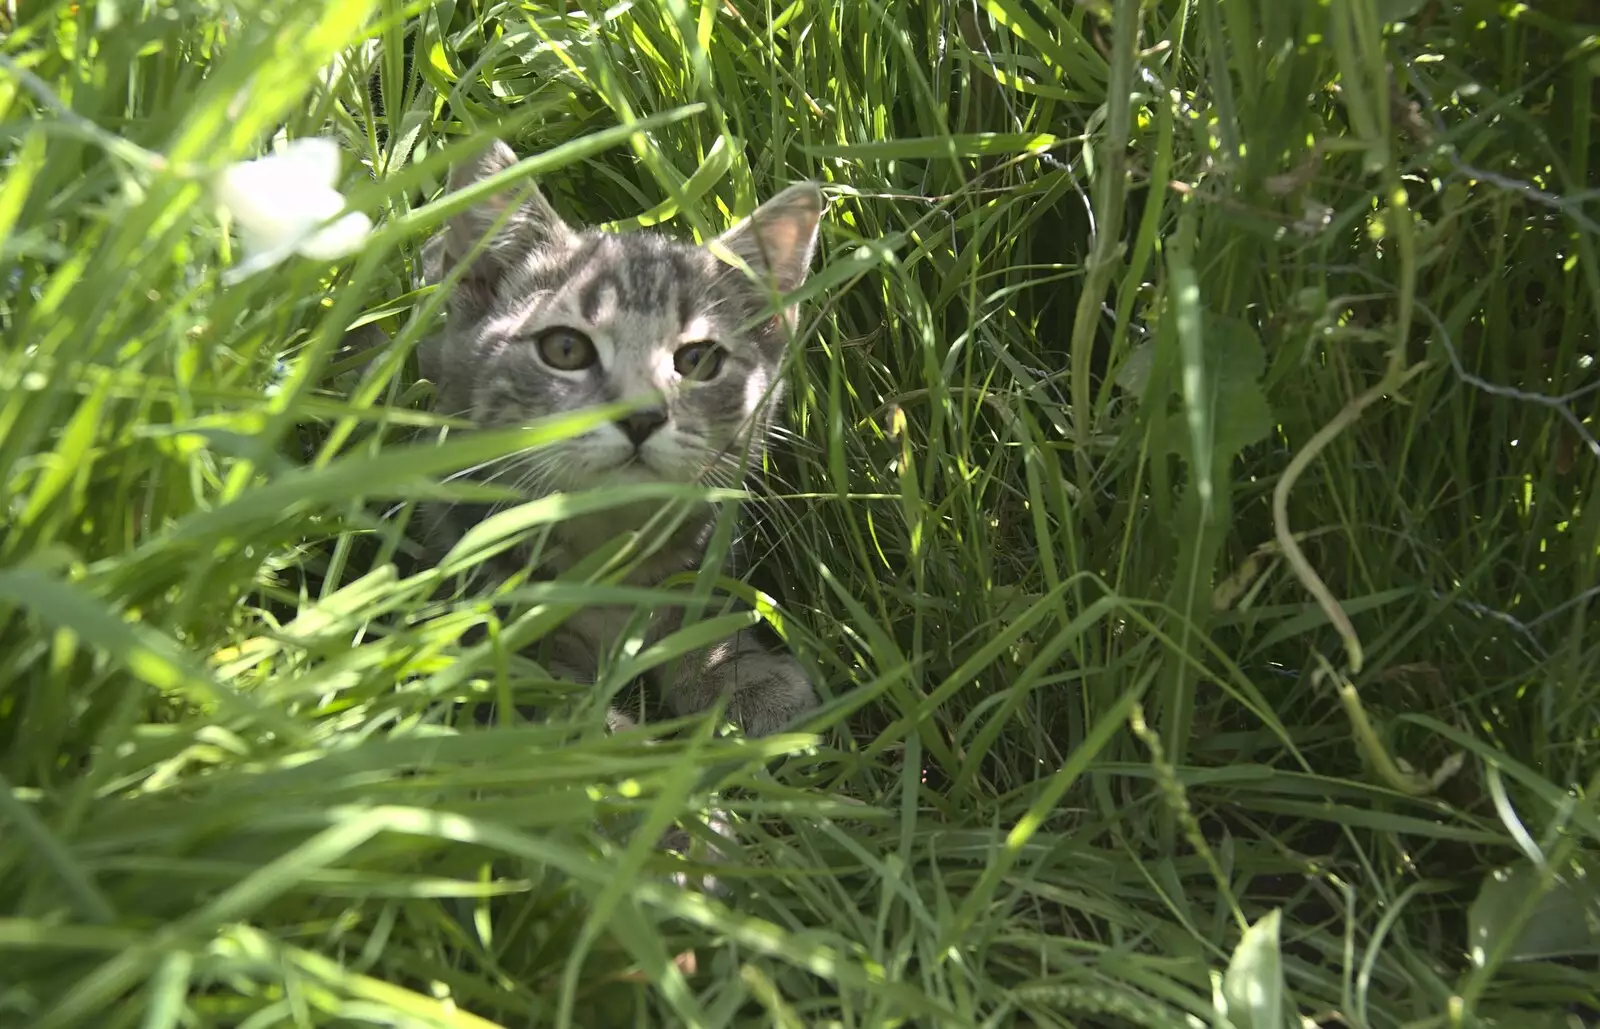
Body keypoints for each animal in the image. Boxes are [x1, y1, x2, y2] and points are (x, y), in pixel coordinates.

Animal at [419, 140, 825, 736]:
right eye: (565, 349)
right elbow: (543, 698)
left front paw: (734, 672)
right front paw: (609, 739)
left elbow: (695, 613)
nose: (641, 416)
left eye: (697, 361)